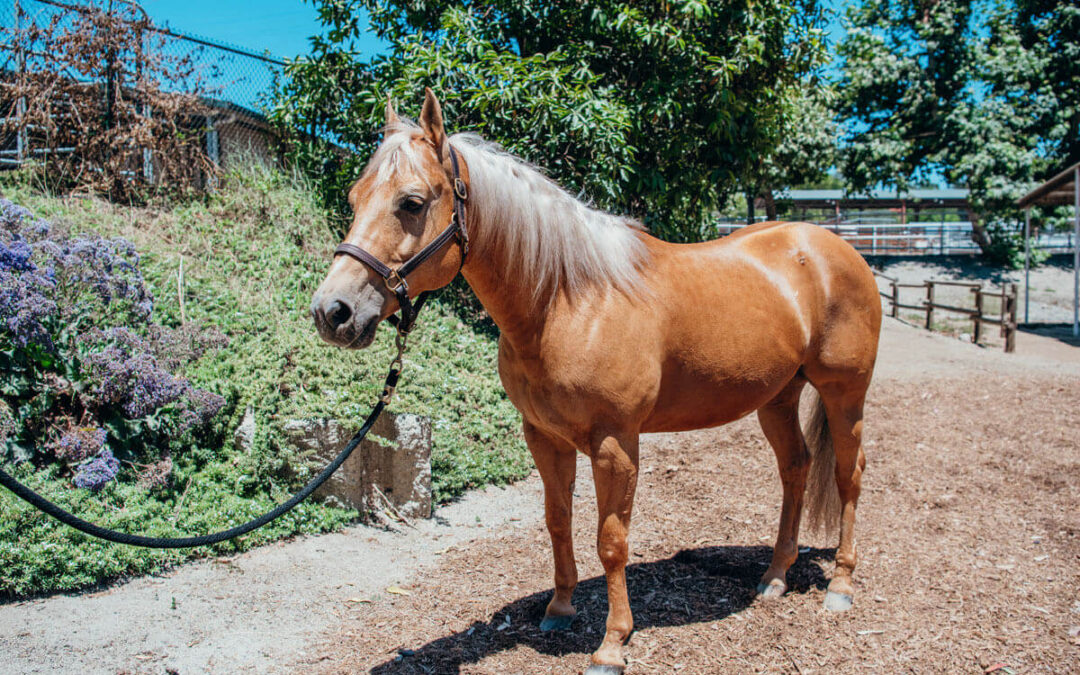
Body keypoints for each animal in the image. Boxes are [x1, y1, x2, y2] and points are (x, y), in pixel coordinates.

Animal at [311, 89, 882, 674]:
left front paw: (612, 643)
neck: (568, 301)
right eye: (356, 198)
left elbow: (612, 540)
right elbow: (558, 520)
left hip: (844, 392)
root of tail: (834, 249)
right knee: (795, 469)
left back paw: (841, 585)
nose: (332, 311)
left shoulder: (615, 444)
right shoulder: (544, 437)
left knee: (848, 473)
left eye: (412, 203)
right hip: (778, 397)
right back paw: (774, 577)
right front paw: (560, 608)